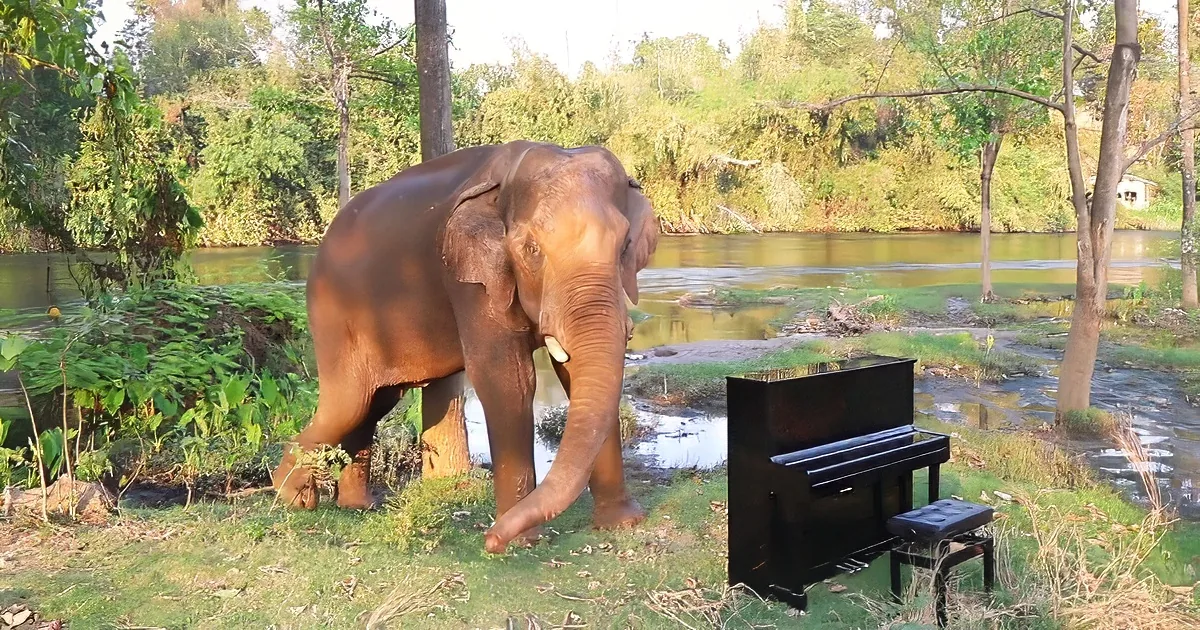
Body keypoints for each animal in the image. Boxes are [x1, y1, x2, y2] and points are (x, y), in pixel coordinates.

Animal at [270, 140, 660, 554]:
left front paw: (622, 524)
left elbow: (574, 374)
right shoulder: (469, 280)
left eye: (625, 245)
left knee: (373, 405)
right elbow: (507, 380)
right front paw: (521, 542)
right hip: (334, 319)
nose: (490, 539)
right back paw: (294, 497)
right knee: (348, 403)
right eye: (531, 250)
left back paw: (356, 505)